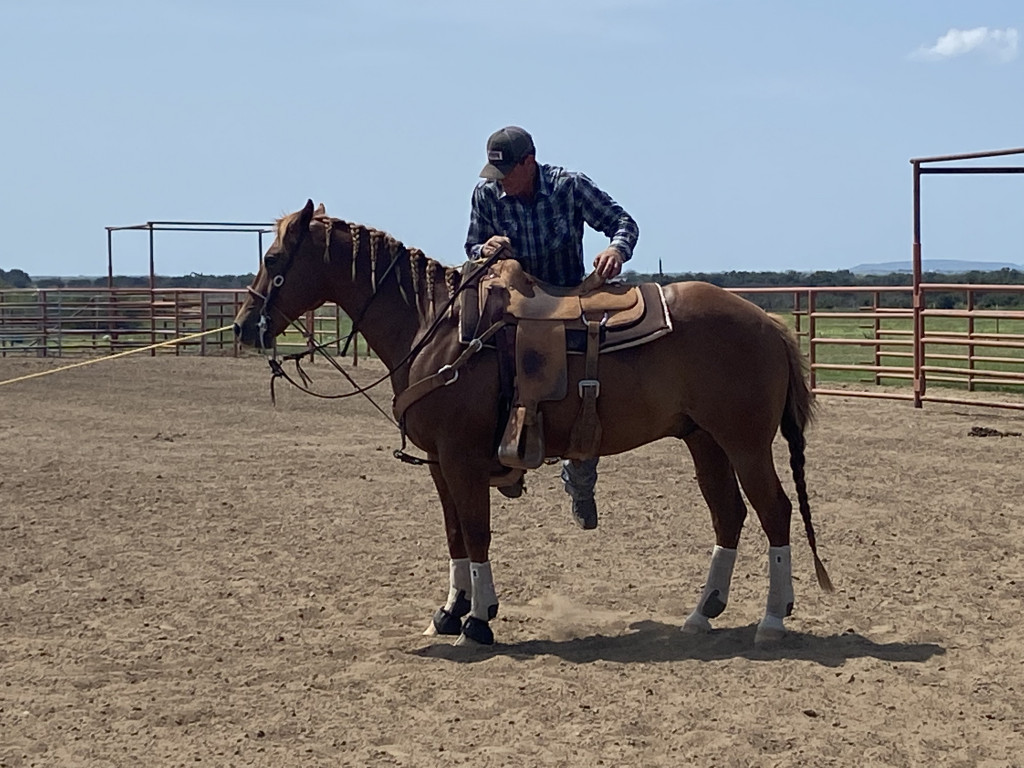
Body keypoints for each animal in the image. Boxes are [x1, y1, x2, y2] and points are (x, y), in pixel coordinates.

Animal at [233, 199, 833, 647]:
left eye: (277, 256)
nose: (243, 326)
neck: (435, 327)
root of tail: (769, 323)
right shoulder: (439, 464)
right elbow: (454, 533)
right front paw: (450, 612)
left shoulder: (462, 459)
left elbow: (476, 532)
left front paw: (478, 621)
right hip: (704, 441)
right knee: (729, 514)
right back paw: (702, 612)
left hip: (745, 443)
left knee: (775, 512)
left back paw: (772, 619)